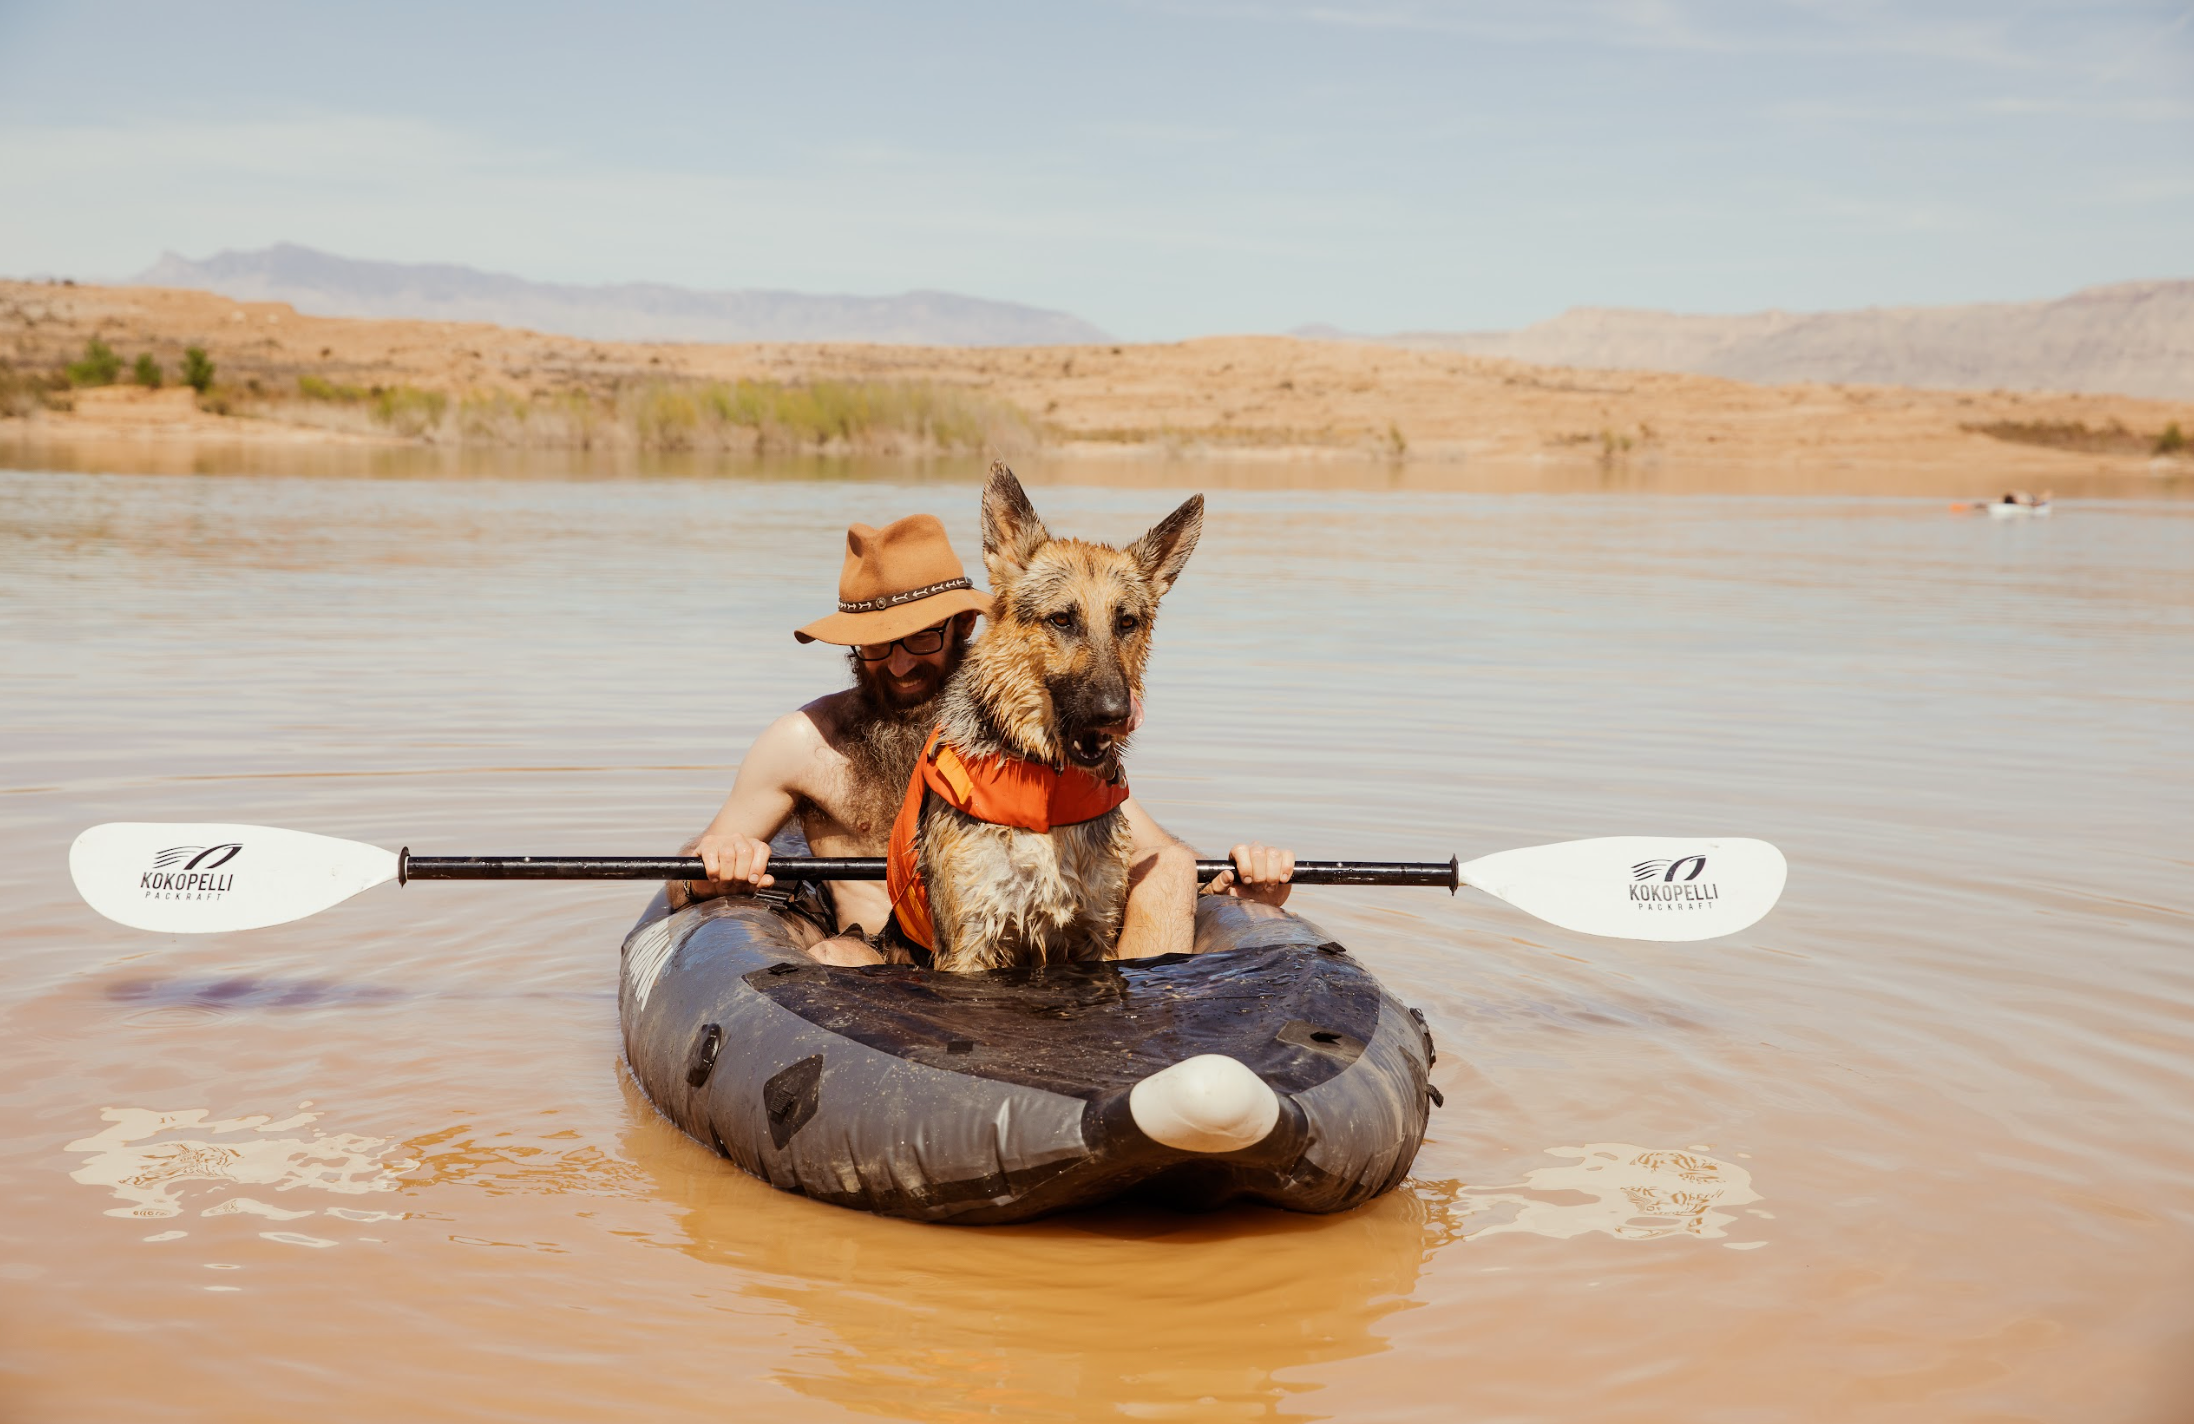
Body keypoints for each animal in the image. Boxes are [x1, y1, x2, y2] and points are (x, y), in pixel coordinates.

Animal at [917, 460, 1211, 969]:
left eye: (1126, 623)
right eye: (1061, 620)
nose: (1117, 714)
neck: (1045, 782)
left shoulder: (1096, 934)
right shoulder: (968, 947)